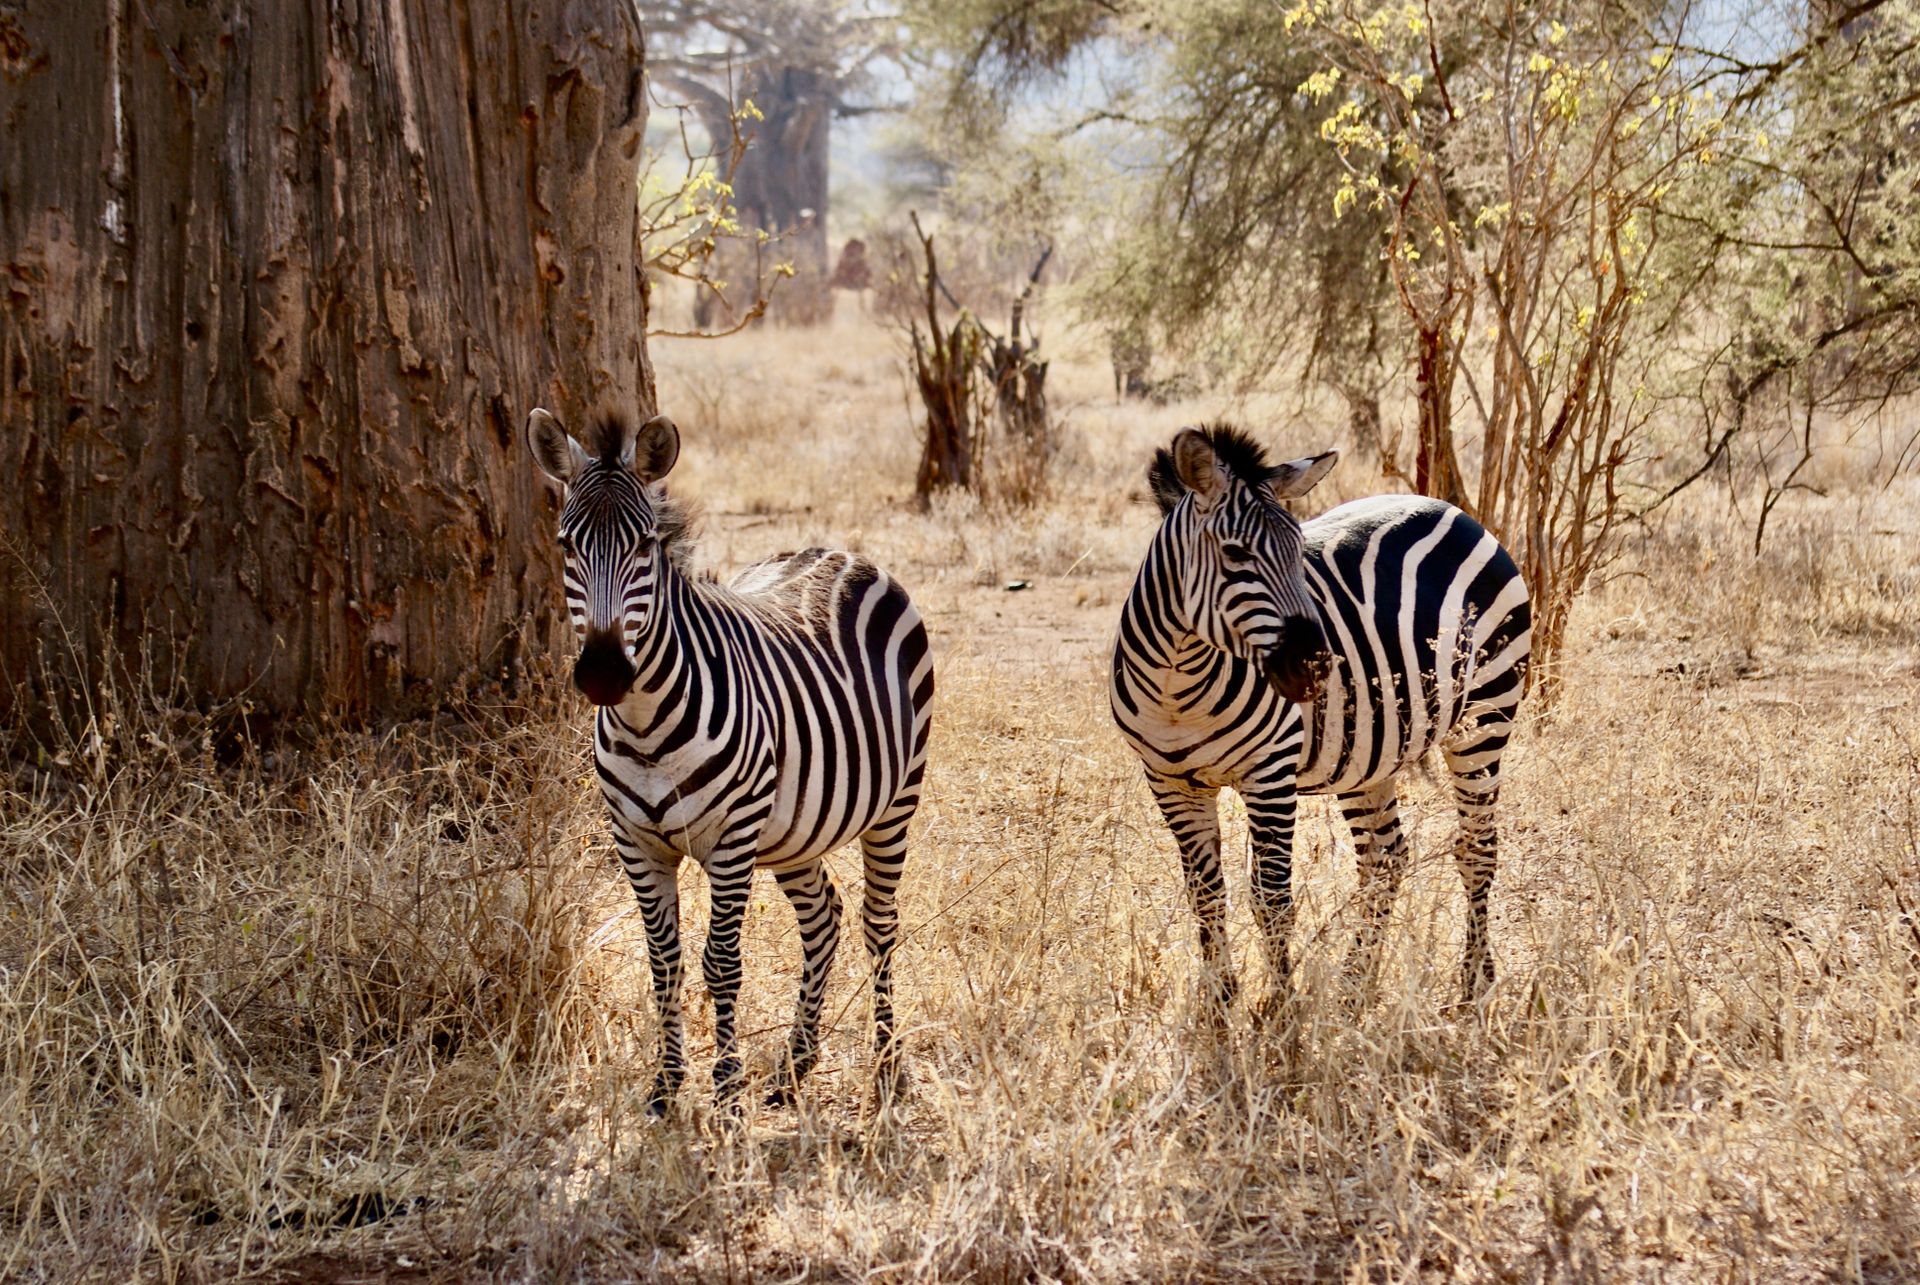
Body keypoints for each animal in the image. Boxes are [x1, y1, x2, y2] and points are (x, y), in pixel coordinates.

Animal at [527, 407, 935, 1112]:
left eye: (645, 546)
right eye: (565, 545)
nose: (604, 674)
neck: (645, 727)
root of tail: (840, 552)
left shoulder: (731, 839)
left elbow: (720, 963)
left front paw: (725, 1091)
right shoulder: (636, 843)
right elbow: (664, 961)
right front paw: (667, 1086)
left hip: (893, 802)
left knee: (878, 924)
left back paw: (888, 1069)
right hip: (794, 828)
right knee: (823, 916)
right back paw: (796, 1064)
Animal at [1110, 424, 1530, 1006]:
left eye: (1298, 550)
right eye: (1235, 553)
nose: (1314, 667)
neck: (1179, 685)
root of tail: (1452, 510)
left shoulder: (1268, 775)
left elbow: (1271, 901)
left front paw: (1280, 1012)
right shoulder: (1170, 781)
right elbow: (1206, 895)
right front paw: (1219, 1004)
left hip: (1485, 715)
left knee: (1477, 848)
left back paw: (1473, 984)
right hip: (1371, 750)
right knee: (1384, 858)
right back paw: (1356, 987)